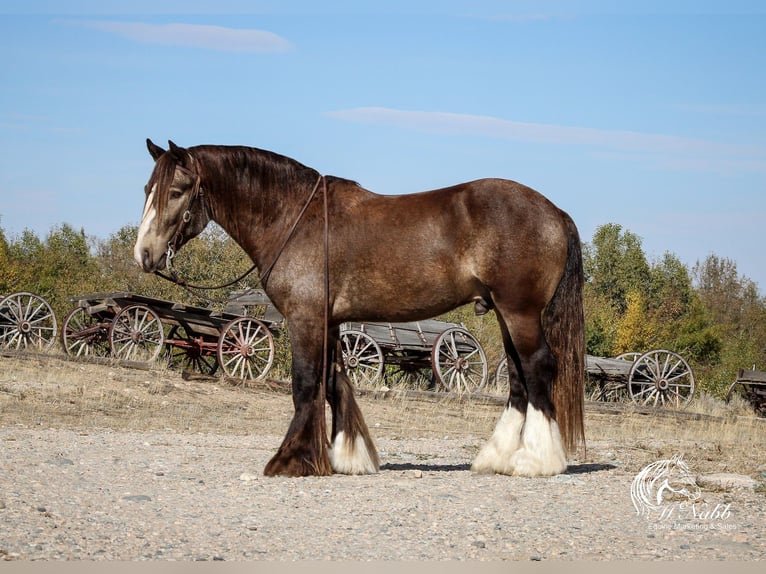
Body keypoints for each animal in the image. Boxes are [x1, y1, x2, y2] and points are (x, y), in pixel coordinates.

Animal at [134, 141, 588, 482]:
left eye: (176, 191)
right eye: (147, 189)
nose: (144, 254)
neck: (293, 218)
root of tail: (554, 211)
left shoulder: (305, 318)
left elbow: (305, 384)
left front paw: (290, 460)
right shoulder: (331, 321)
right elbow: (335, 383)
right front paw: (347, 457)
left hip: (519, 311)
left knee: (538, 367)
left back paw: (537, 461)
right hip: (504, 313)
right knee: (517, 377)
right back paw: (497, 458)